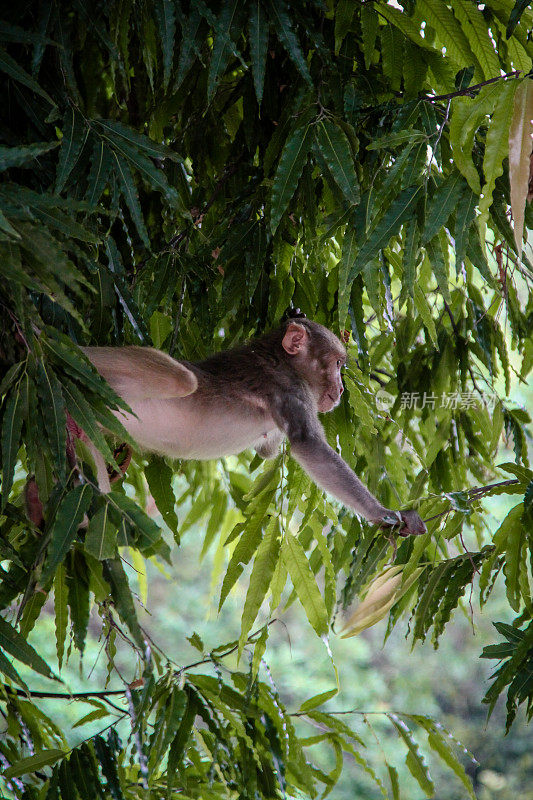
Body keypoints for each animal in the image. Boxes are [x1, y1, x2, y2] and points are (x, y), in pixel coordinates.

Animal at [82, 316, 424, 536]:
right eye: (338, 364)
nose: (341, 389)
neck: (283, 361)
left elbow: (268, 451)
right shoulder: (290, 387)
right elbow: (307, 444)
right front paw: (383, 514)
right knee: (183, 379)